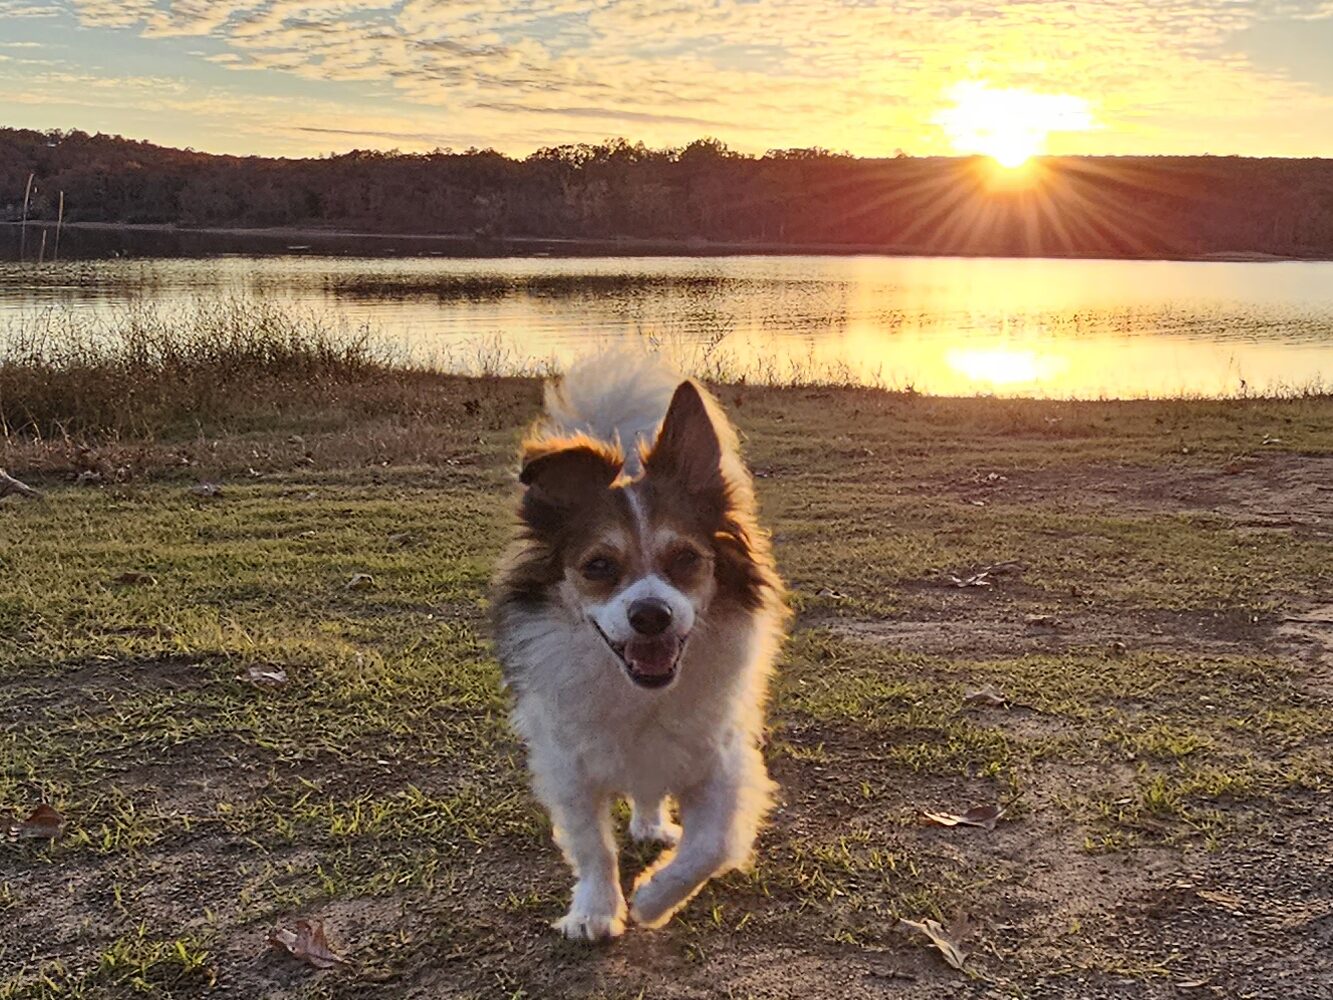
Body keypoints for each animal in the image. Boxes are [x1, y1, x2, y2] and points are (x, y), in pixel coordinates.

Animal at [490, 352, 786, 940]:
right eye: (599, 567)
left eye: (686, 559)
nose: (650, 615)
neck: (640, 695)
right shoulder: (569, 769)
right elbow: (592, 848)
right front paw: (597, 910)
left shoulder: (721, 762)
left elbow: (712, 846)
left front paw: (653, 899)